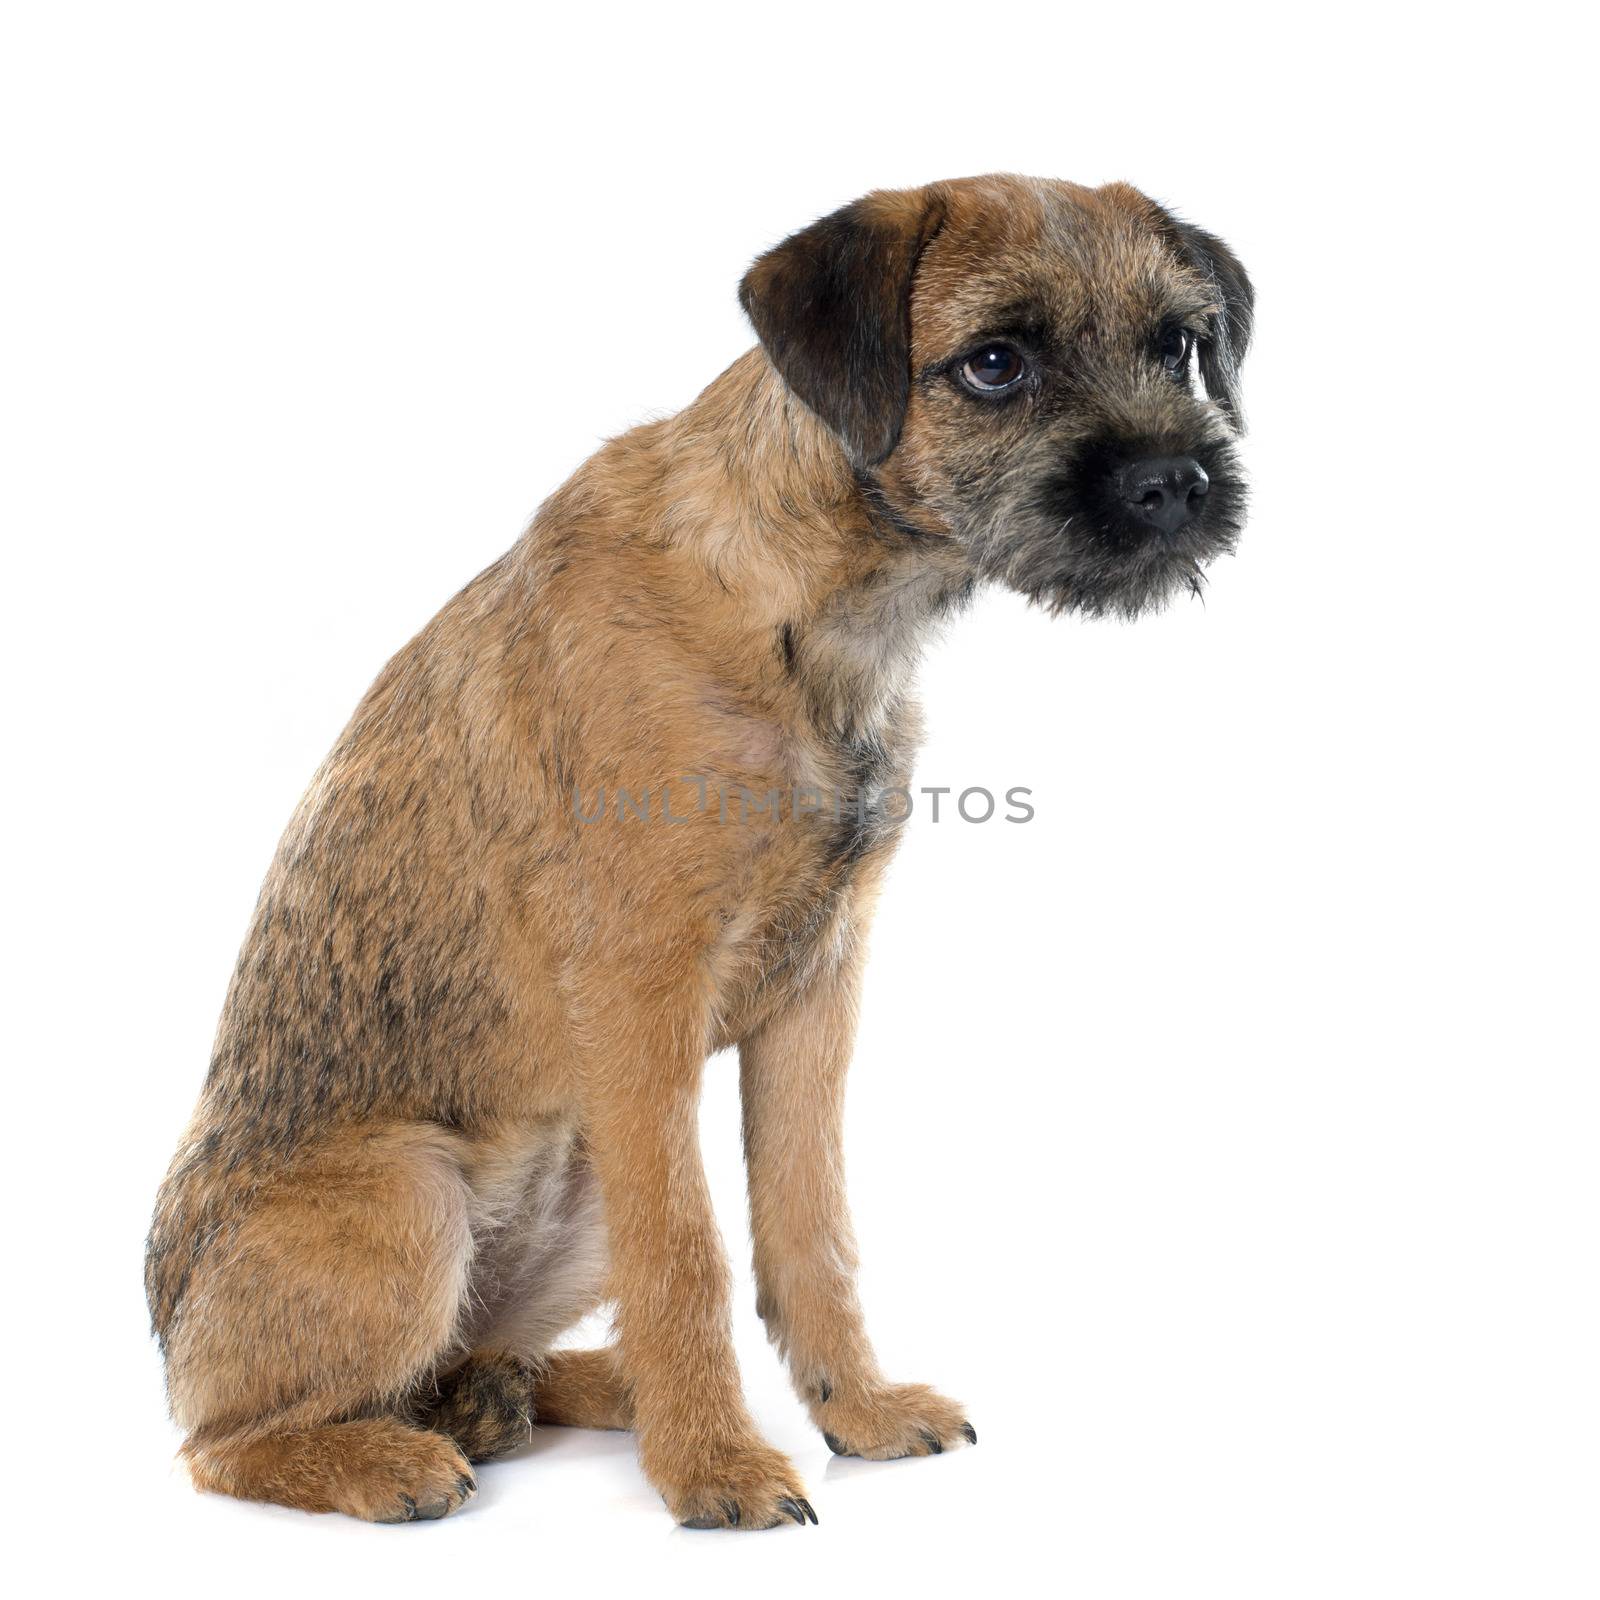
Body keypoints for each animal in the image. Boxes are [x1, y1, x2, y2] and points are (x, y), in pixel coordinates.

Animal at [147, 172, 1248, 1523]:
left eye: (1177, 343)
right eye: (995, 362)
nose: (1175, 482)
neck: (812, 608)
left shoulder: (815, 998)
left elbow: (808, 1223)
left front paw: (852, 1409)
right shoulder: (641, 1008)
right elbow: (688, 1251)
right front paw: (712, 1466)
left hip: (570, 1184)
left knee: (465, 1355)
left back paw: (535, 1393)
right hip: (409, 1192)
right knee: (228, 1437)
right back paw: (387, 1456)